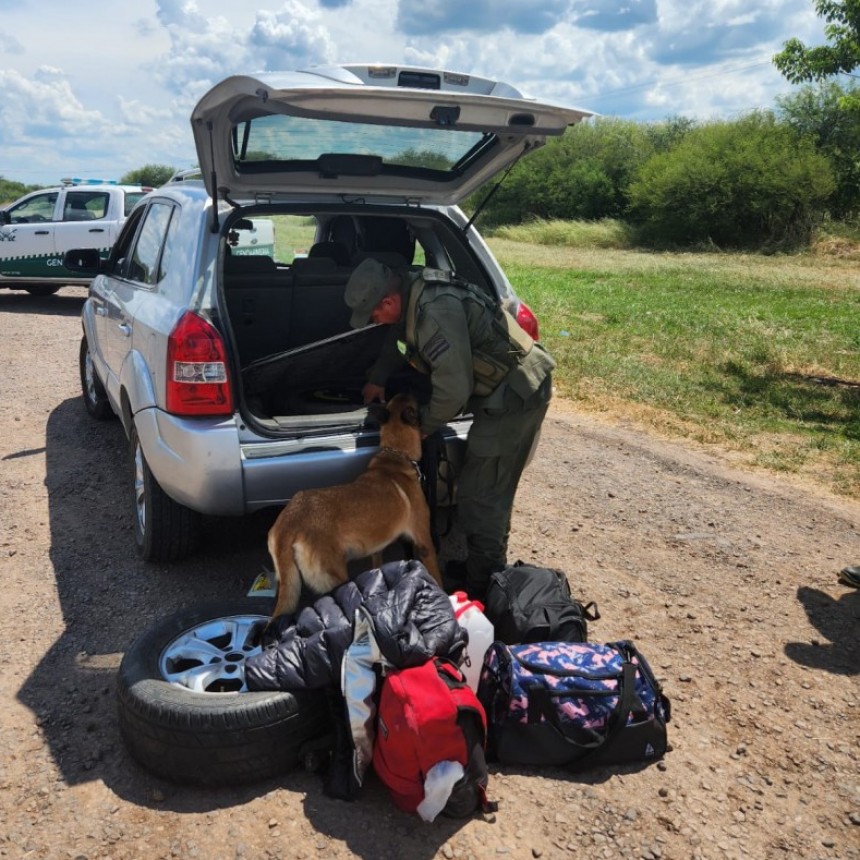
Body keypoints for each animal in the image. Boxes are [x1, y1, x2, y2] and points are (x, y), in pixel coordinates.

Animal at [268, 396, 444, 620]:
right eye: (413, 401)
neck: (395, 455)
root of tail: (290, 520)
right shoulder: (424, 542)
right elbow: (436, 575)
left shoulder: (376, 547)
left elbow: (377, 566)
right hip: (338, 578)